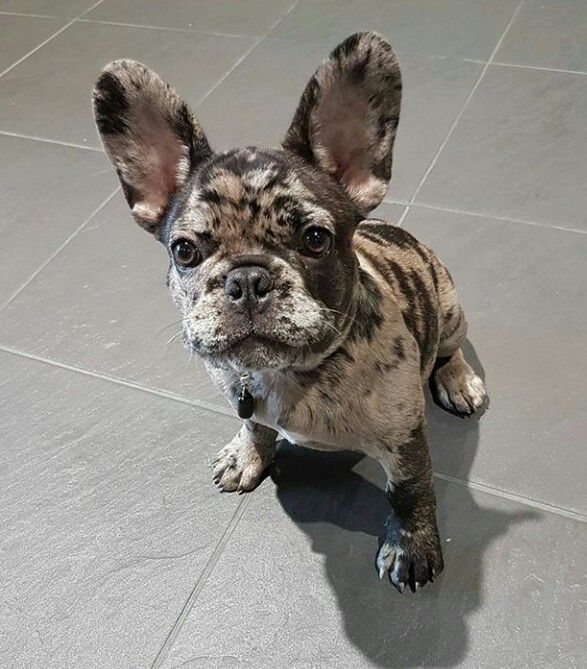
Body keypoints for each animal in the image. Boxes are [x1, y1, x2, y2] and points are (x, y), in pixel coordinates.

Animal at [92, 34, 486, 592]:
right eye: (184, 250)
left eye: (315, 239)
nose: (247, 280)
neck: (291, 373)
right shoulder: (240, 393)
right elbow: (256, 426)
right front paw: (247, 455)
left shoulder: (404, 435)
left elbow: (410, 489)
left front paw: (411, 546)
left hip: (449, 307)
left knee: (450, 350)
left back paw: (458, 380)